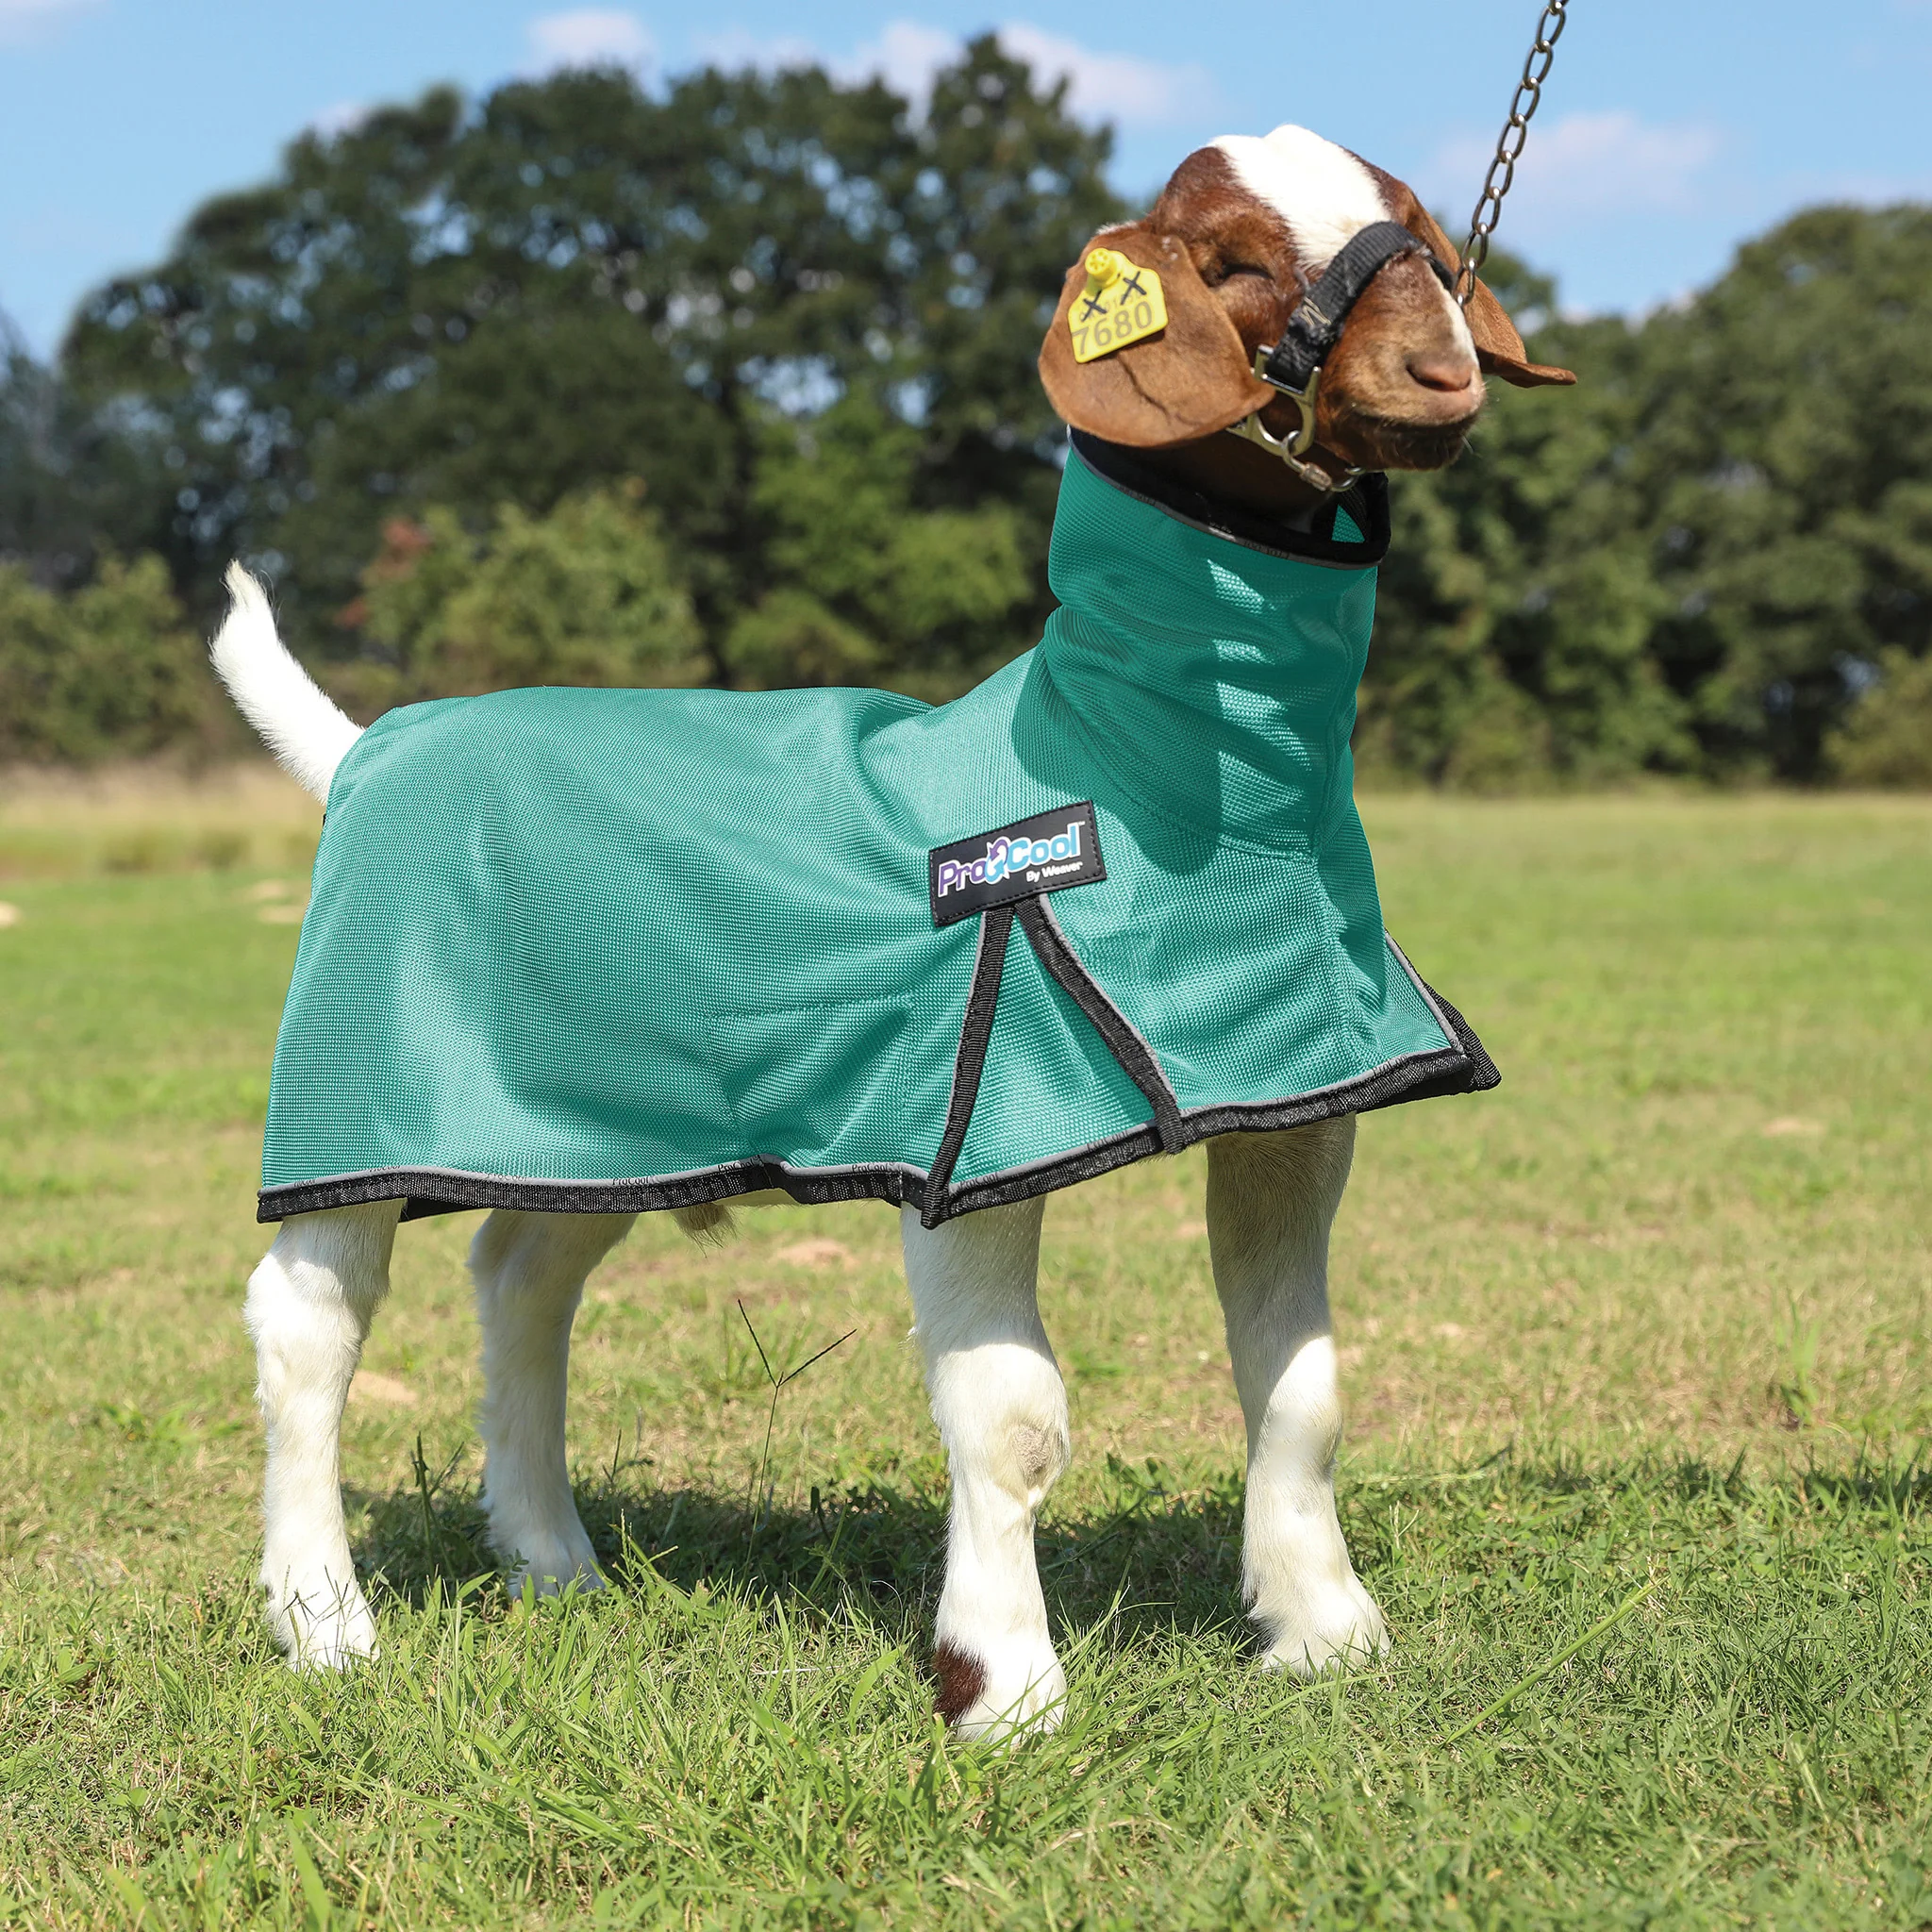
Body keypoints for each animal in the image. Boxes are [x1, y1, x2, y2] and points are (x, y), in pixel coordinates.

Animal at [212, 124, 1571, 1739]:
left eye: (1415, 225)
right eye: (1236, 258)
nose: (1440, 371)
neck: (1144, 772)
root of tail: (366, 748)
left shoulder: (1292, 1103)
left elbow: (1301, 1386)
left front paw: (1323, 1632)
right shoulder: (977, 1119)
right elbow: (1015, 1417)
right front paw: (1004, 1687)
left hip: (594, 1110)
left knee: (523, 1276)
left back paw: (551, 1561)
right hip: (364, 1094)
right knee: (309, 1325)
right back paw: (323, 1622)